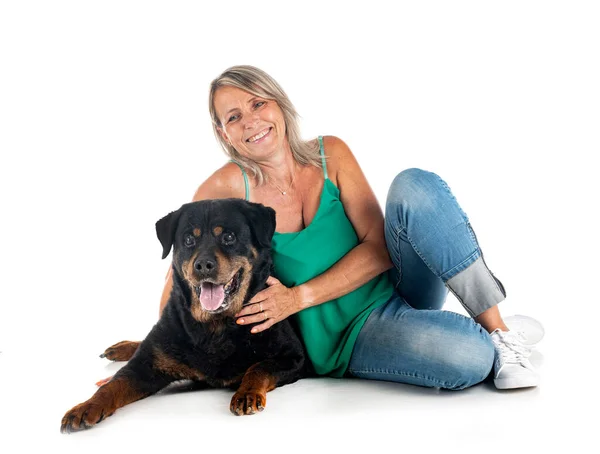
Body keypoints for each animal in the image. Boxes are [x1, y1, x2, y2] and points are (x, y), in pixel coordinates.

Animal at [61, 200, 308, 432]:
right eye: (189, 239)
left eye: (228, 237)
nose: (203, 264)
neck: (215, 326)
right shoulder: (146, 363)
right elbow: (113, 384)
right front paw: (85, 407)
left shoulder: (294, 357)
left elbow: (259, 367)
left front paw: (247, 393)